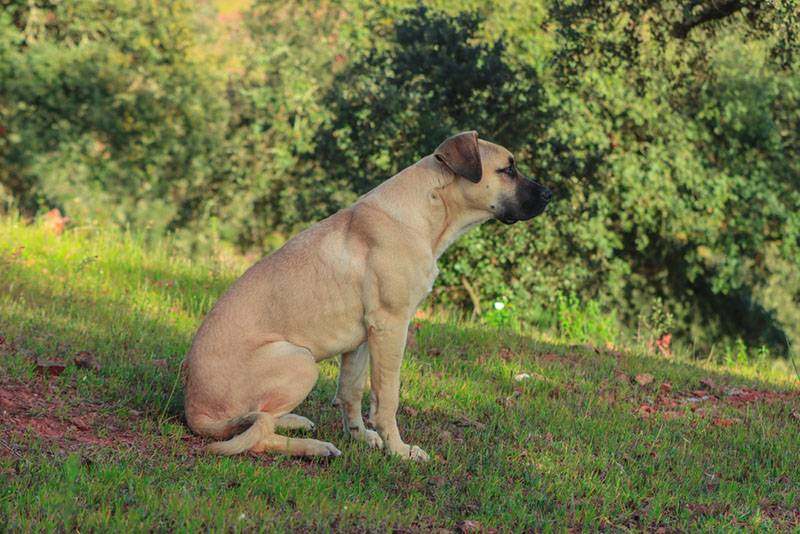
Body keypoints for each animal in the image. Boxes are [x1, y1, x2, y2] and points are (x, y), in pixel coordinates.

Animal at [183, 132, 552, 462]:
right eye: (508, 169)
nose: (550, 193)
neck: (428, 211)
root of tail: (194, 411)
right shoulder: (391, 326)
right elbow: (387, 398)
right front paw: (399, 451)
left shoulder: (362, 337)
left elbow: (351, 391)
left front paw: (360, 436)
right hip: (300, 361)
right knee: (255, 436)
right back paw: (315, 449)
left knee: (256, 422)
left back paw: (293, 421)